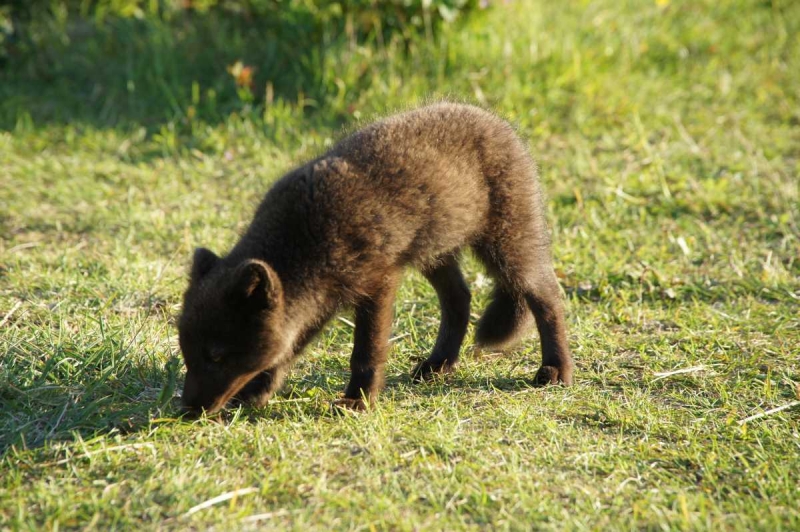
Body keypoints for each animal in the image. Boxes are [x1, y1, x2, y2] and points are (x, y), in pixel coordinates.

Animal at [178, 102, 572, 414]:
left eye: (216, 355)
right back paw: (438, 365)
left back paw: (556, 371)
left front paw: (358, 400)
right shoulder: (318, 301)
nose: (187, 412)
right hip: (435, 255)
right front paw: (258, 391)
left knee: (548, 296)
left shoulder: (377, 283)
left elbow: (365, 351)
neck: (303, 237)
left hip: (507, 249)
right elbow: (288, 347)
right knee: (460, 298)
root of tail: (497, 121)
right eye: (186, 351)